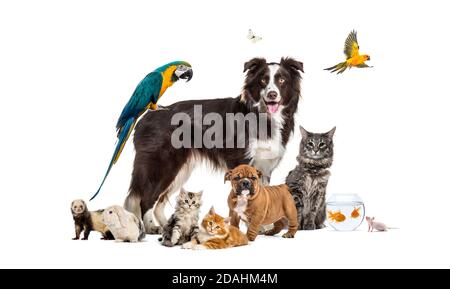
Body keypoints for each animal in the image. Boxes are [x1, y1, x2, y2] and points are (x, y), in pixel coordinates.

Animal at [125, 56, 304, 232]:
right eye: (263, 80)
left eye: (282, 80)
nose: (272, 94)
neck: (262, 116)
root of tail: (145, 117)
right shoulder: (242, 161)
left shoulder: (264, 166)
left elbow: (262, 197)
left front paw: (264, 227)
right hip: (163, 165)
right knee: (146, 198)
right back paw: (151, 227)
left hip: (181, 170)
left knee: (160, 201)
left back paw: (168, 226)